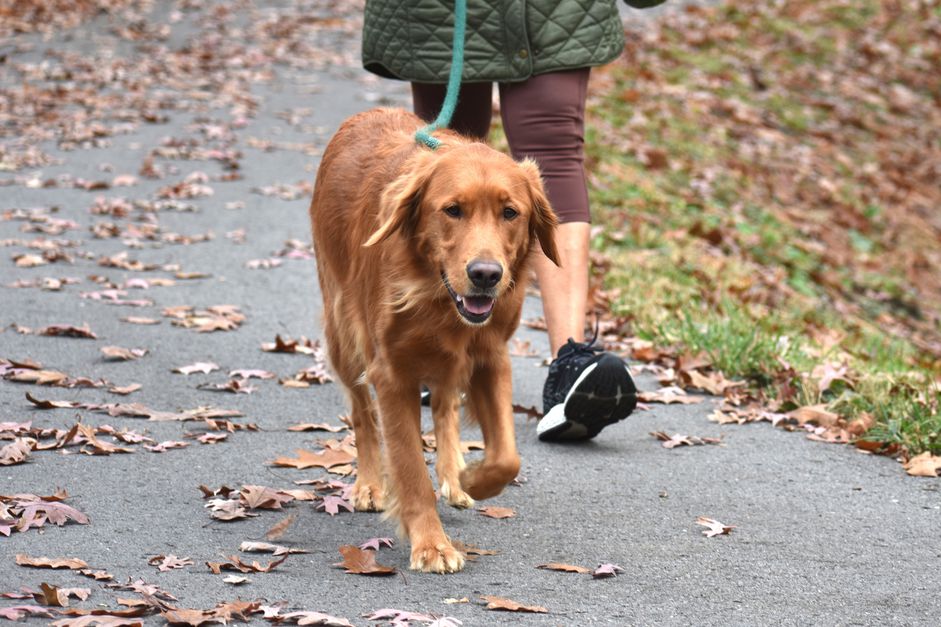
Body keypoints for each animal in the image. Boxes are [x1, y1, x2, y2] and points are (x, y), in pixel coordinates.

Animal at [308, 109, 560, 576]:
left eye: (510, 212)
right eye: (452, 210)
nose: (486, 275)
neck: (436, 297)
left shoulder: (491, 358)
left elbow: (506, 456)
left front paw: (470, 479)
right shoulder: (392, 374)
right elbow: (408, 466)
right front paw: (431, 544)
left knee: (445, 405)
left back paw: (453, 473)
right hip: (343, 334)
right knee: (361, 413)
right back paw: (369, 484)